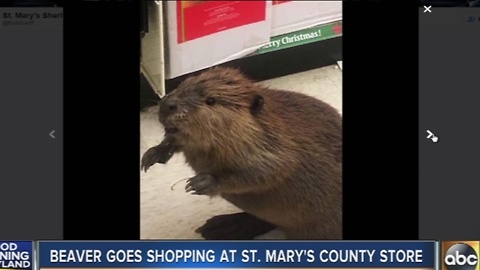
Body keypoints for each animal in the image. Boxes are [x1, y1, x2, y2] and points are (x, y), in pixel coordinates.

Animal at [141, 66, 344, 239]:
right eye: (185, 83)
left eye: (211, 100)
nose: (167, 104)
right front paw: (151, 155)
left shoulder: (278, 145)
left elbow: (269, 170)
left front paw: (201, 182)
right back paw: (221, 227)